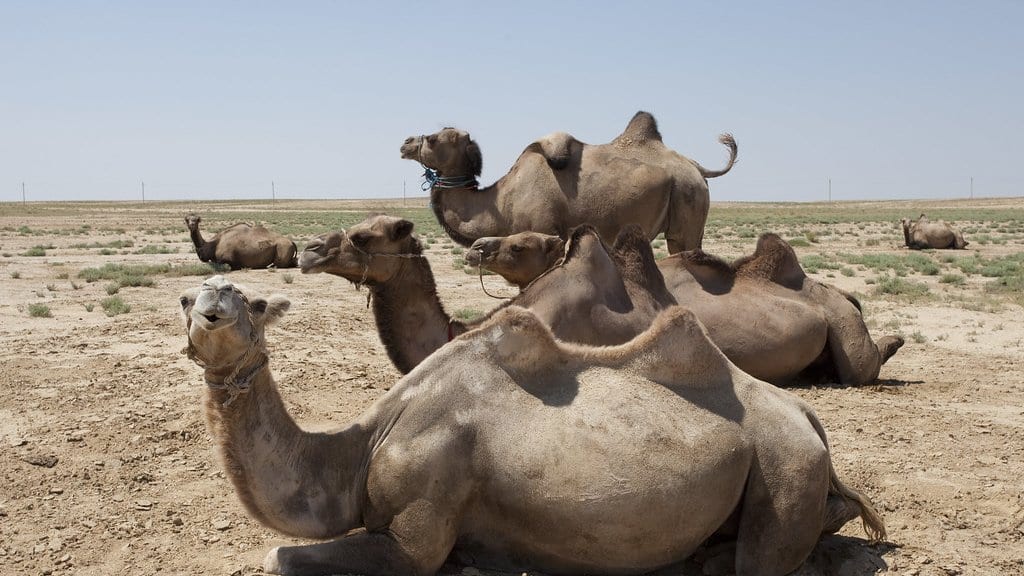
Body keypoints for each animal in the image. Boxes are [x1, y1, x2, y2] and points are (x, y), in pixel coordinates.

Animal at [181, 274, 885, 576]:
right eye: (186, 297)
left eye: (253, 302)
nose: (210, 306)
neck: (360, 449)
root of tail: (807, 415)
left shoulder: (418, 522)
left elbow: (278, 556)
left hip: (785, 460)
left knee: (765, 559)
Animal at [400, 111, 737, 253]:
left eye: (433, 139)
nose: (405, 143)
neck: (501, 199)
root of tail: (695, 167)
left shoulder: (544, 232)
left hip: (687, 200)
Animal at [467, 231, 904, 386]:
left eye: (520, 246)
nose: (475, 249)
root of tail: (846, 296)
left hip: (843, 322)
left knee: (860, 368)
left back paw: (895, 341)